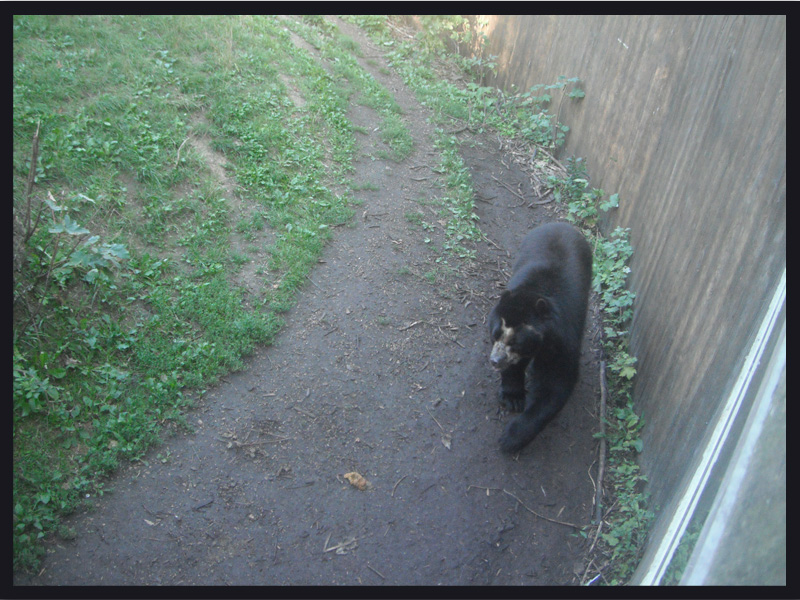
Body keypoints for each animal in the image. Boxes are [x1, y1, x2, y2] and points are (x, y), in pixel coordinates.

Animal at [488, 223, 592, 452]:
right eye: (495, 334)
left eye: (516, 342)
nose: (495, 361)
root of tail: (561, 223)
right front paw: (513, 398)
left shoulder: (563, 338)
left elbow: (555, 381)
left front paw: (511, 437)